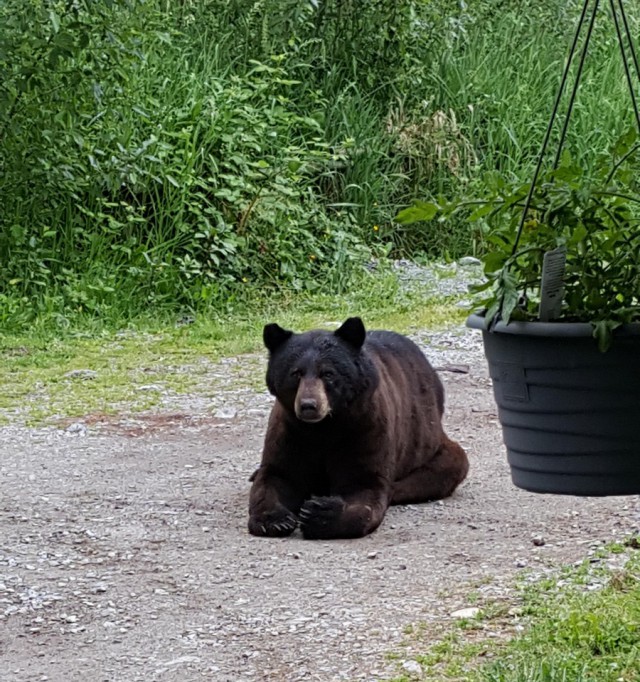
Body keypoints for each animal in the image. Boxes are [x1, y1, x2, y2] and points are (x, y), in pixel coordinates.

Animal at [248, 316, 468, 540]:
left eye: (328, 373)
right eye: (295, 373)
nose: (309, 405)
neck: (324, 427)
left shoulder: (364, 427)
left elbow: (364, 484)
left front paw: (319, 513)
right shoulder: (291, 431)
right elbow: (277, 475)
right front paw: (275, 520)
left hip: (431, 443)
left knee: (446, 467)